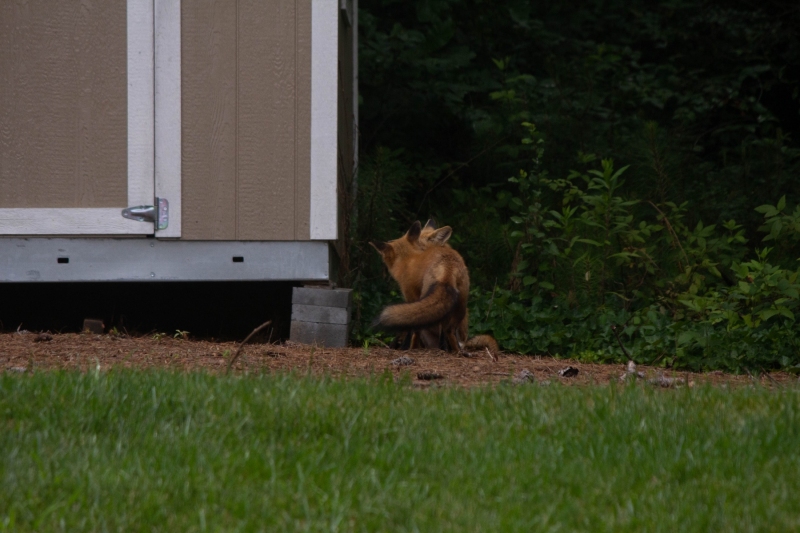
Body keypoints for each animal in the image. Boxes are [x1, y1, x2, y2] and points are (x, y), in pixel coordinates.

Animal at [370, 220, 498, 354]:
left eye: (420, 244)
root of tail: (447, 268)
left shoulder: (410, 296)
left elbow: (409, 329)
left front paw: (404, 346)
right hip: (461, 304)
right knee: (448, 329)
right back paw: (454, 350)